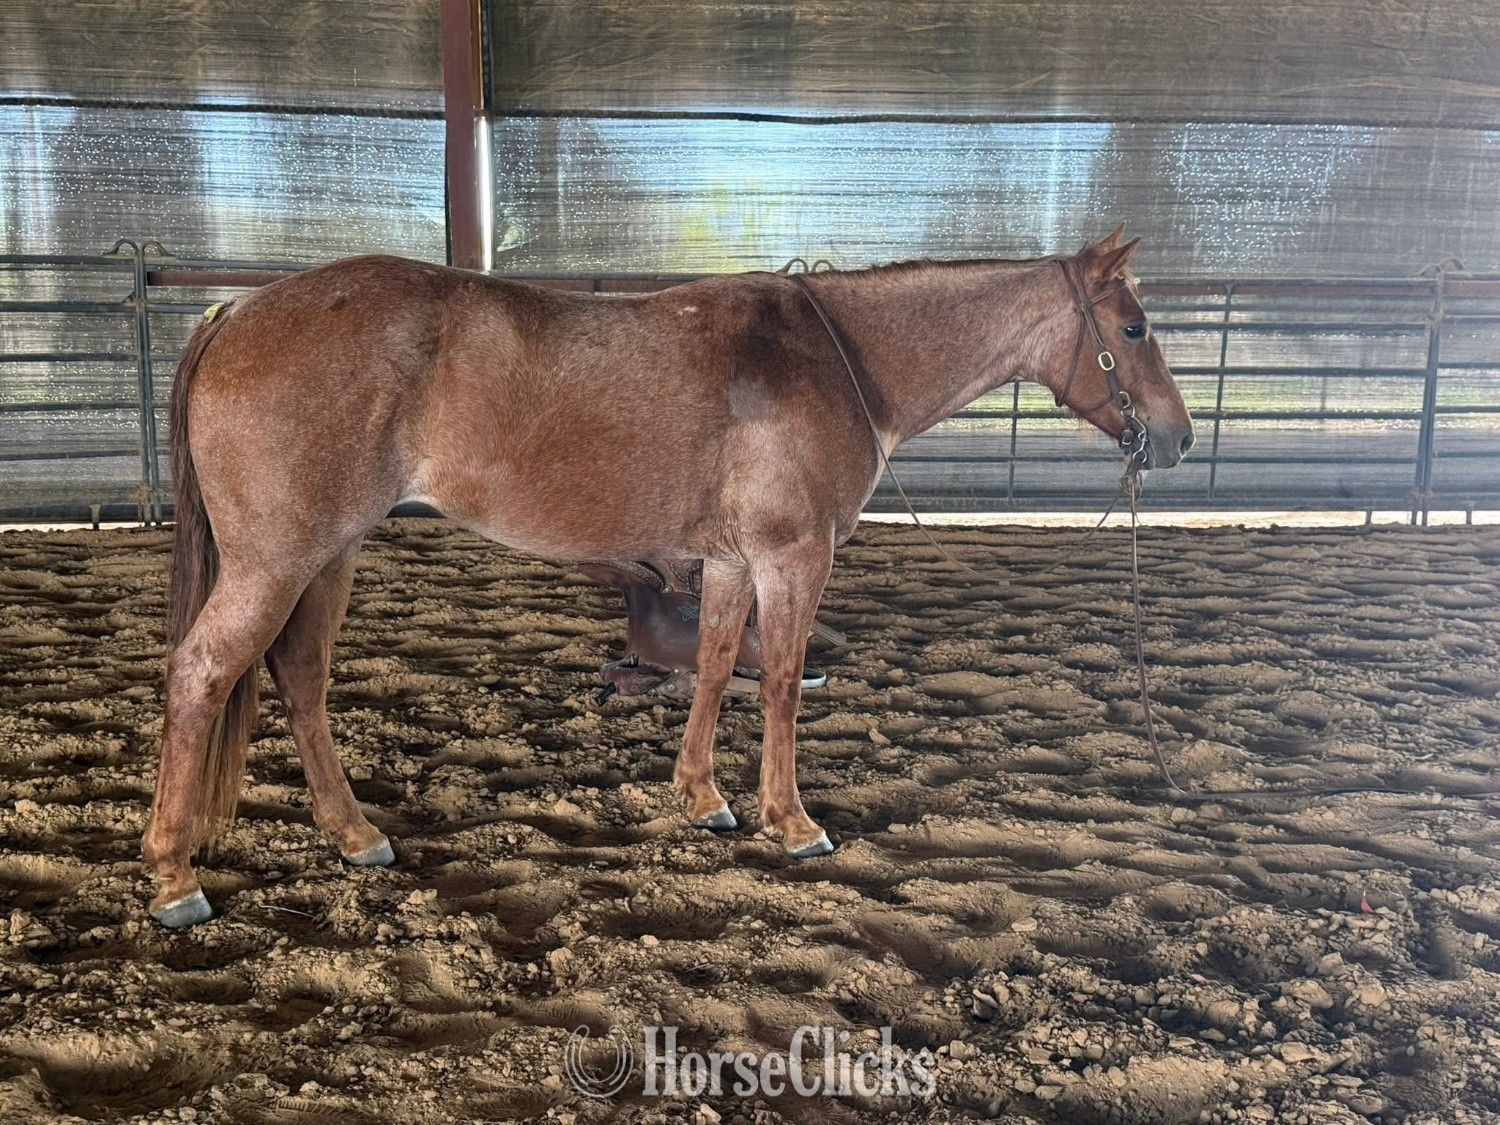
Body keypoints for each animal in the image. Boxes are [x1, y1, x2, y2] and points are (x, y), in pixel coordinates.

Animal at [143, 225, 1194, 927]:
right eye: (1137, 327)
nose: (1180, 438)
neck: (838, 359)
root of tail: (236, 312)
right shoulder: (792, 556)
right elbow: (778, 682)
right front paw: (791, 820)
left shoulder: (728, 562)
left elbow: (715, 668)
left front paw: (702, 797)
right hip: (279, 561)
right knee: (200, 677)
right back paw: (173, 876)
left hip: (329, 555)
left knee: (300, 676)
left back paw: (354, 834)